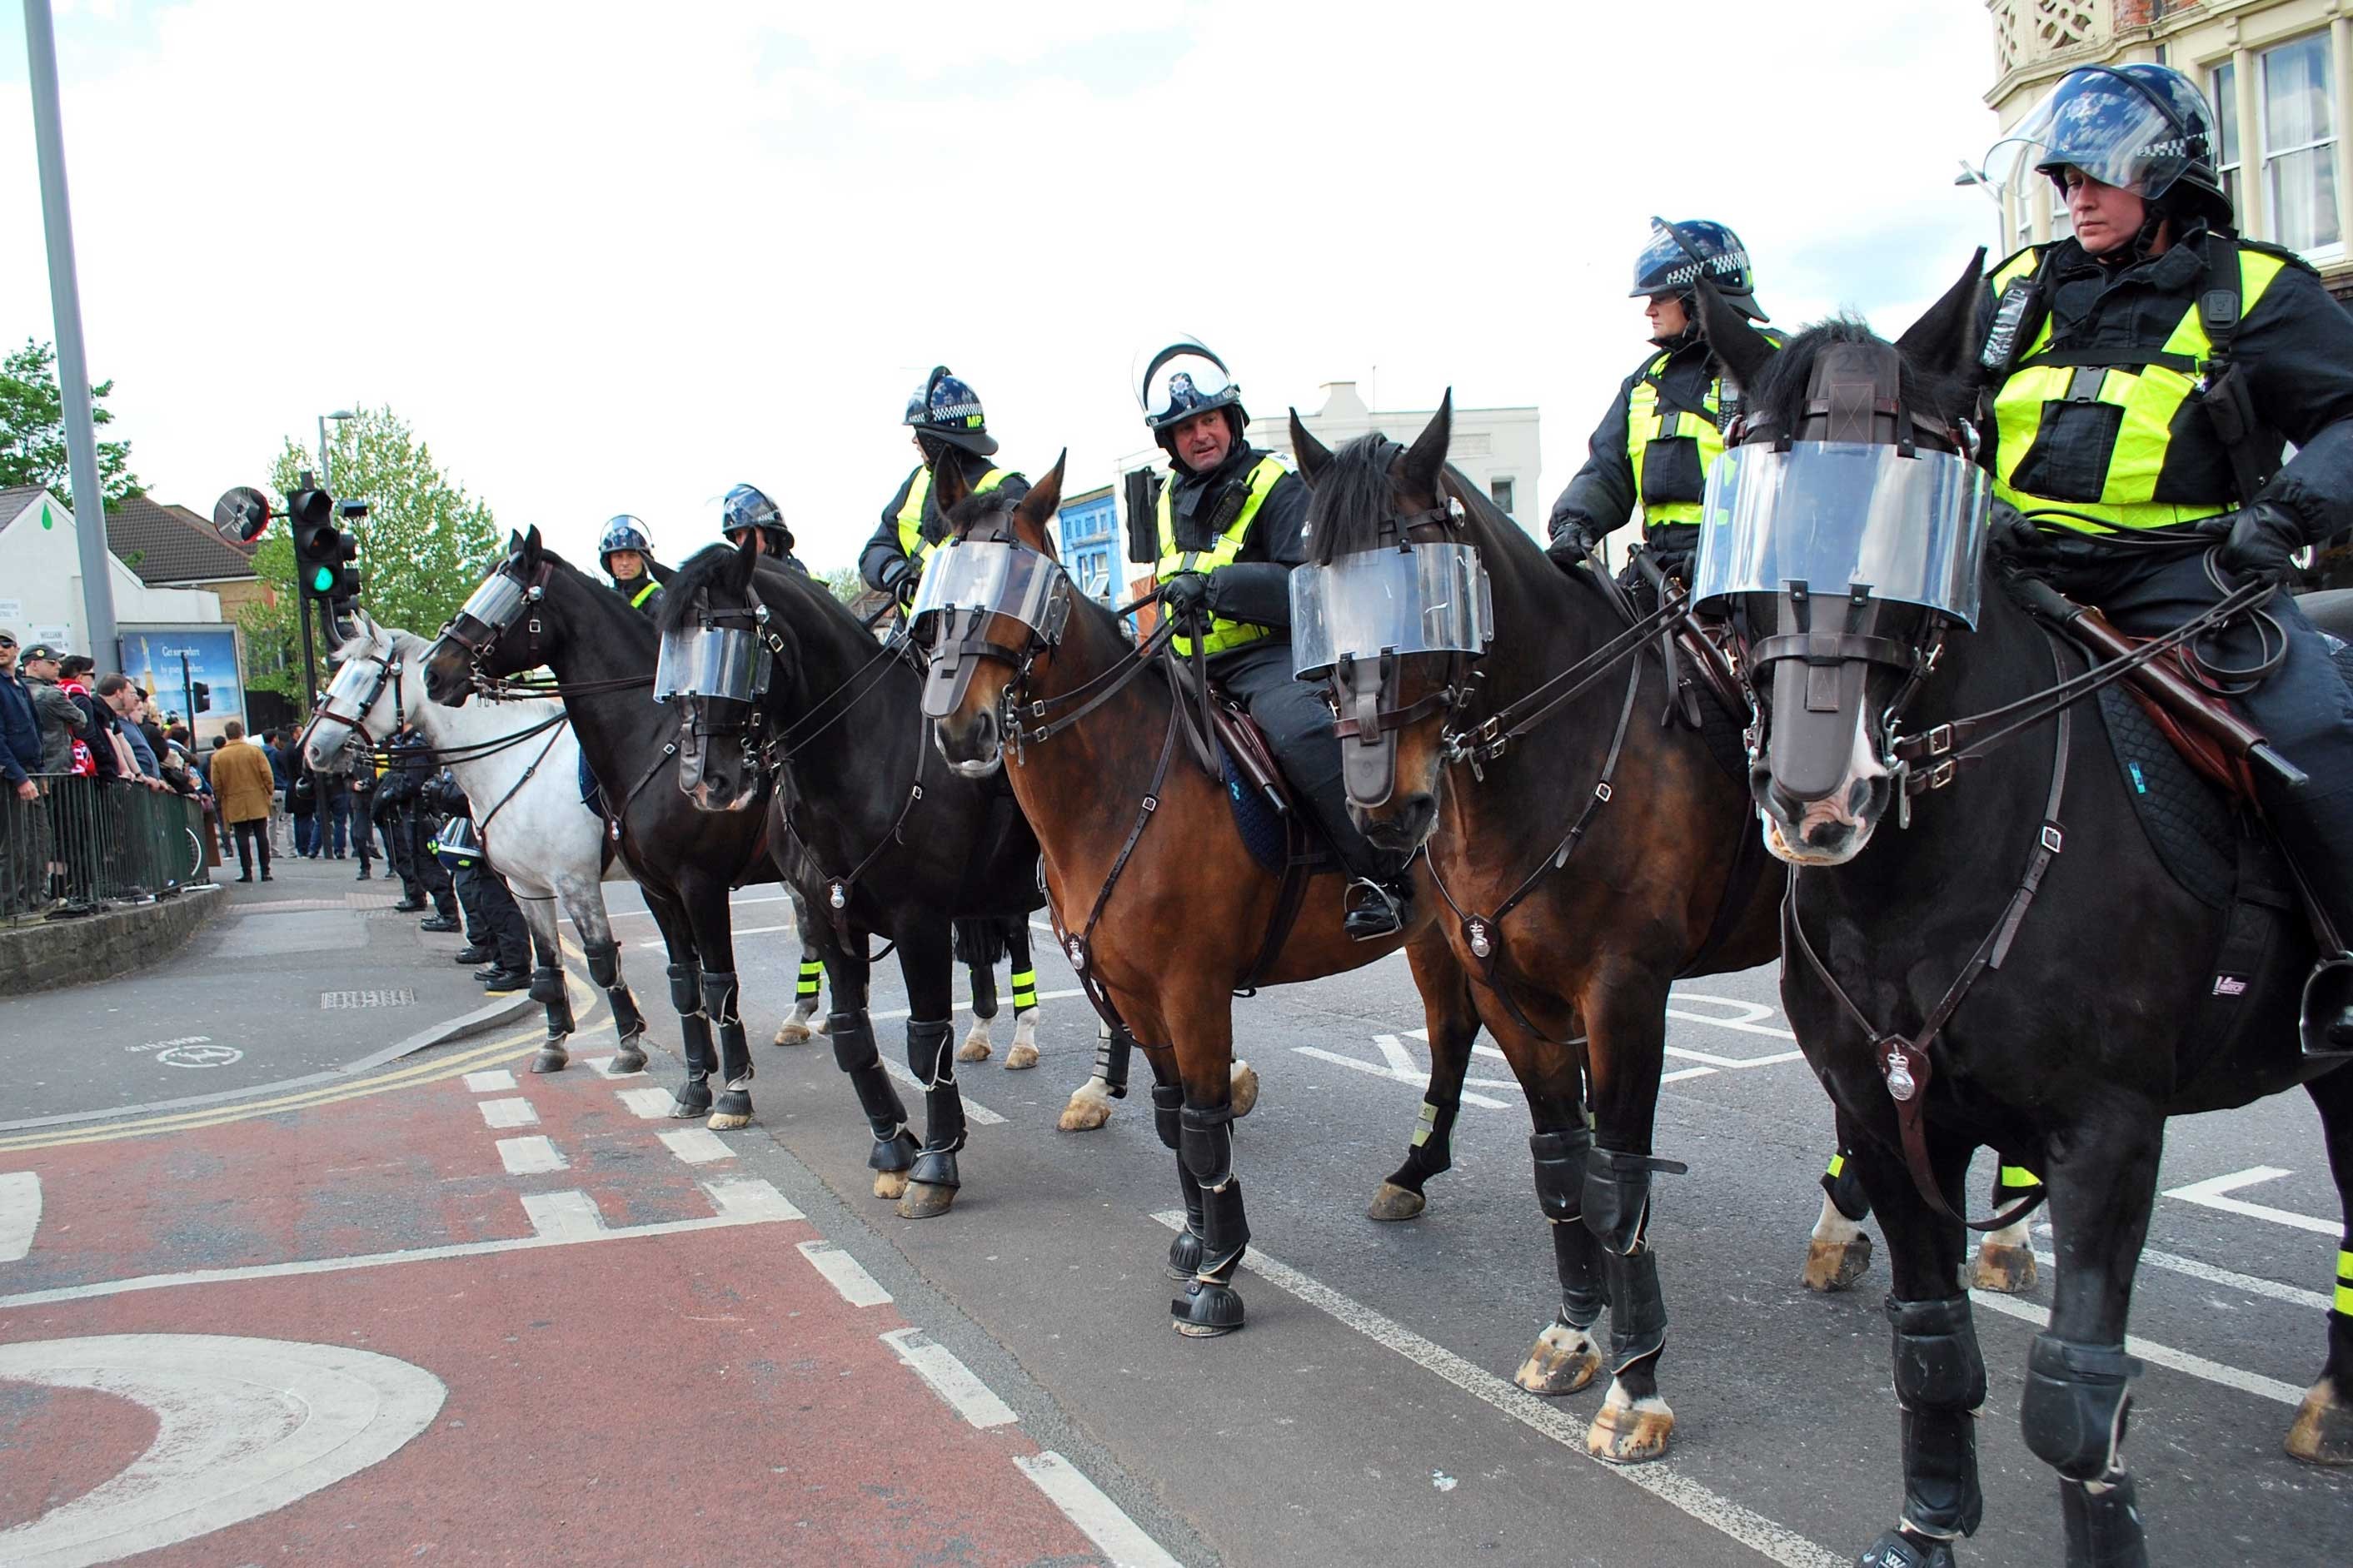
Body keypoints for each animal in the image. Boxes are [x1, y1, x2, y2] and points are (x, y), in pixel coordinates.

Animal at [308, 620, 654, 1072]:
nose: (314, 749)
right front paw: (553, 1043)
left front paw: (629, 1043)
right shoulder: (527, 886)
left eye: (366, 677)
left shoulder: (576, 884)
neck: (516, 758)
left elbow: (602, 962)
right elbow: (549, 961)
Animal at [922, 453, 1487, 1335]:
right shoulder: (1131, 989)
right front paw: (1196, 1240)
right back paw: (1412, 1173)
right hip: (1435, 936)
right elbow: (1169, 1115)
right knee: (1453, 1034)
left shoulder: (1193, 988)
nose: (958, 726)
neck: (1120, 786)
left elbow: (1204, 1122)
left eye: (1024, 579)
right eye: (943, 580)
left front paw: (1219, 1275)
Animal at [1289, 399, 1778, 1466]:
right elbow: (1561, 1161)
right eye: (1315, 595)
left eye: (1428, 596)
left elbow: (1615, 1178)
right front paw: (1570, 1332)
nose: (1381, 805)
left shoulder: (1625, 995)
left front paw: (1637, 1384)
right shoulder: (1506, 989)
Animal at [1694, 266, 2353, 1568]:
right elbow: (1932, 1343)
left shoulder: (2109, 1132)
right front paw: (1927, 1524)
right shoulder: (1888, 1114)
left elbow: (2073, 1402)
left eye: (1918, 501)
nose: (1814, 797)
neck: (1921, 890)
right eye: (1760, 508)